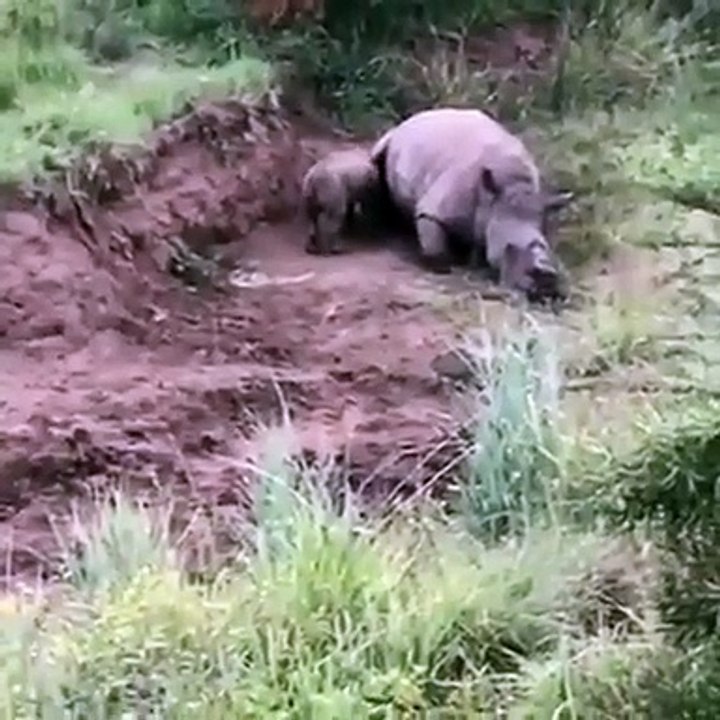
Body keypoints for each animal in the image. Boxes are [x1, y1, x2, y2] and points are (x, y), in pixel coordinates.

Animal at [370, 107, 573, 299]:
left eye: (546, 246)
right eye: (508, 248)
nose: (544, 288)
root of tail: (416, 115)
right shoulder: (436, 208)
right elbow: (434, 239)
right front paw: (446, 265)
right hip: (394, 137)